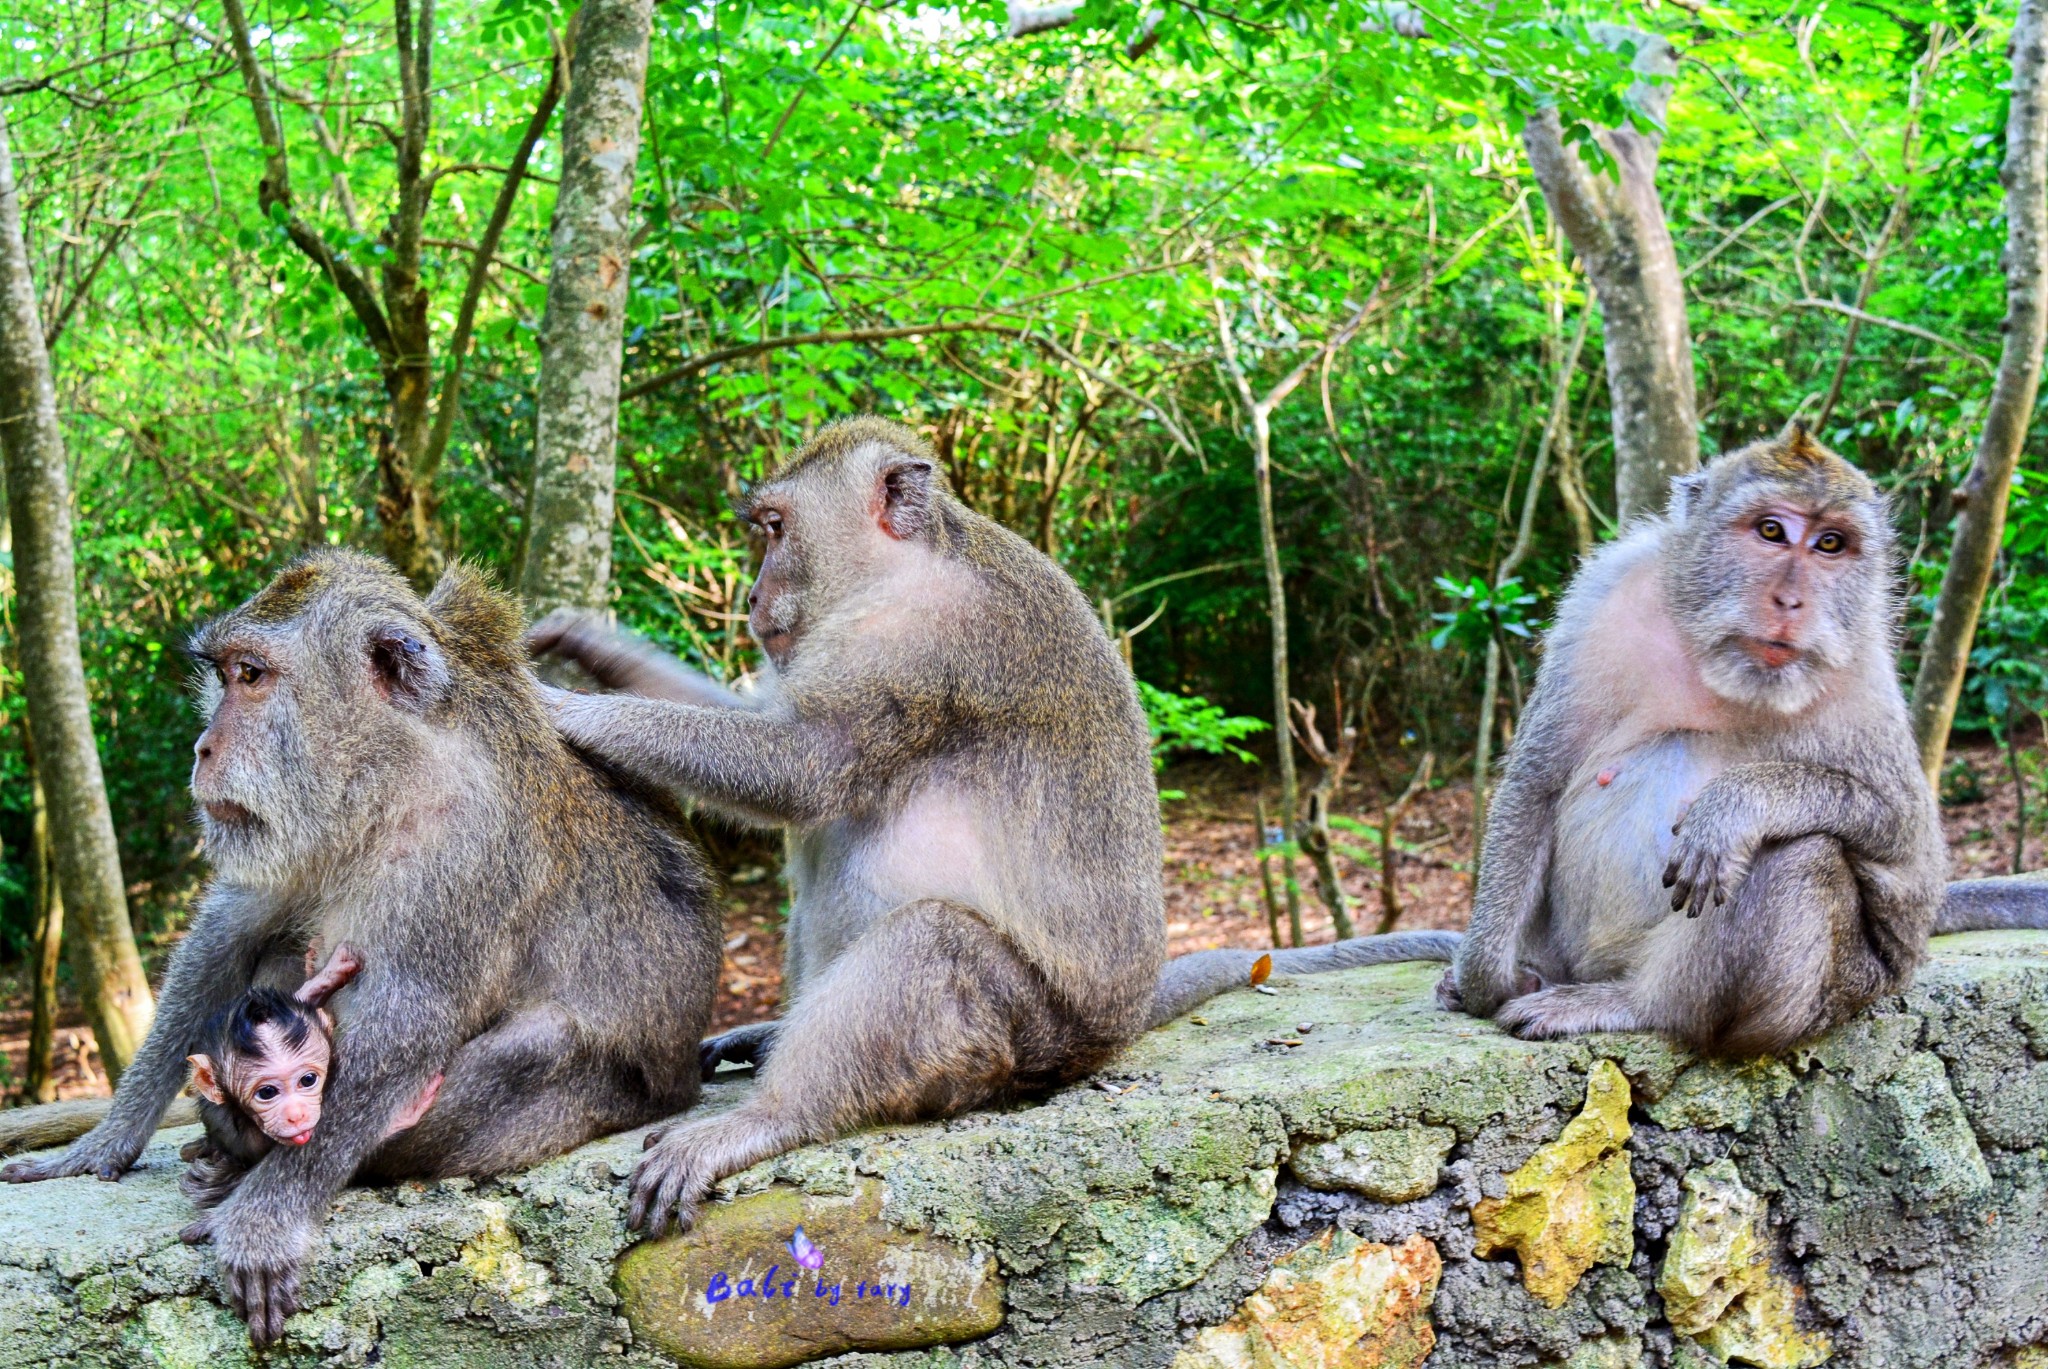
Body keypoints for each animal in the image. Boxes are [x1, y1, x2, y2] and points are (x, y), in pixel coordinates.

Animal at [2, 549, 729, 1344]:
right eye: (224, 675)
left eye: (251, 675)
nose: (203, 748)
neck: (388, 776)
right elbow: (228, 937)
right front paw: (102, 1144)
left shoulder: (460, 847)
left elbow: (406, 1022)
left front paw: (265, 1219)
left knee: (528, 1050)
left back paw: (241, 1168)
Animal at [528, 411, 1458, 1237]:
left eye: (775, 527)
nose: (754, 594)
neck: (907, 568)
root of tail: (1114, 1026)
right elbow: (774, 738)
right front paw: (591, 648)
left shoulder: (923, 641)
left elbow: (805, 764)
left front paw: (573, 708)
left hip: (1022, 1031)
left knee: (931, 941)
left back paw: (773, 1114)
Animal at [1449, 424, 2048, 1049]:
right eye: (1771, 531)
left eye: (1830, 543)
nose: (1790, 602)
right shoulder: (1604, 598)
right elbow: (1537, 783)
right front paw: (1484, 977)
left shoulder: (1864, 667)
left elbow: (1909, 849)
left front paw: (1735, 805)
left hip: (1827, 997)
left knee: (1800, 853)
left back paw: (1639, 1004)